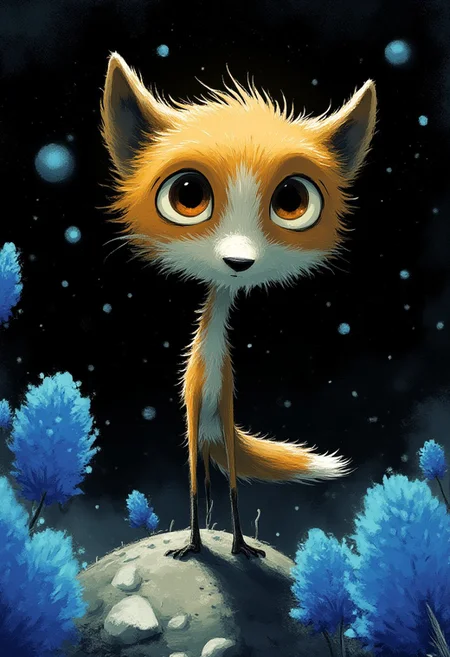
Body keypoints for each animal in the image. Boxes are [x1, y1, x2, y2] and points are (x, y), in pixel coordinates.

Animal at [100, 52, 377, 559]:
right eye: (189, 195)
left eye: (291, 200)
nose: (238, 261)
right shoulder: (191, 411)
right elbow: (192, 486)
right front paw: (192, 545)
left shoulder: (227, 411)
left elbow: (232, 489)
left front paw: (240, 545)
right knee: (202, 480)